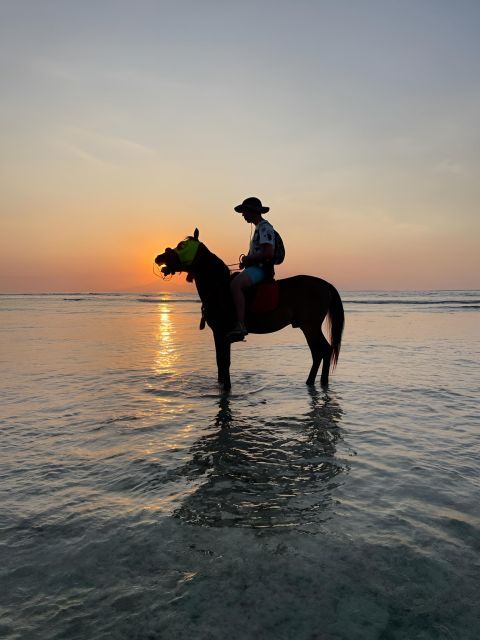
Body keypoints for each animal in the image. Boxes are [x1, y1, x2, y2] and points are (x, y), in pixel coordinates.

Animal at [156, 228, 344, 392]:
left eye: (182, 246)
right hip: (308, 327)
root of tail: (324, 284)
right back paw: (313, 383)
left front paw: (227, 389)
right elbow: (220, 363)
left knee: (323, 351)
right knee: (319, 352)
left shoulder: (222, 333)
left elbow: (225, 363)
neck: (219, 287)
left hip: (310, 326)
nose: (159, 257)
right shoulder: (218, 334)